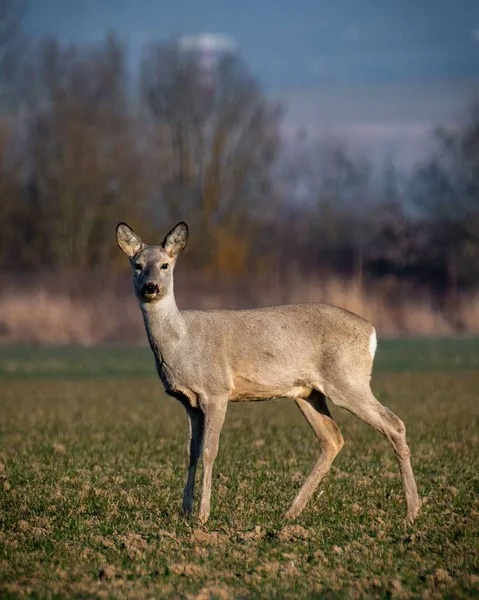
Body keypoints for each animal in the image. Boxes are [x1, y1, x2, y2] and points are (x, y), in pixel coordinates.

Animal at [118, 221, 422, 524]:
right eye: (138, 264)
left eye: (165, 265)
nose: (151, 287)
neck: (181, 343)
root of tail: (371, 330)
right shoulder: (188, 401)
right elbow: (190, 453)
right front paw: (185, 512)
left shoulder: (217, 392)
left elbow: (209, 451)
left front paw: (203, 515)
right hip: (308, 392)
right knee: (332, 439)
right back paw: (291, 511)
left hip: (347, 379)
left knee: (393, 424)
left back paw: (412, 512)